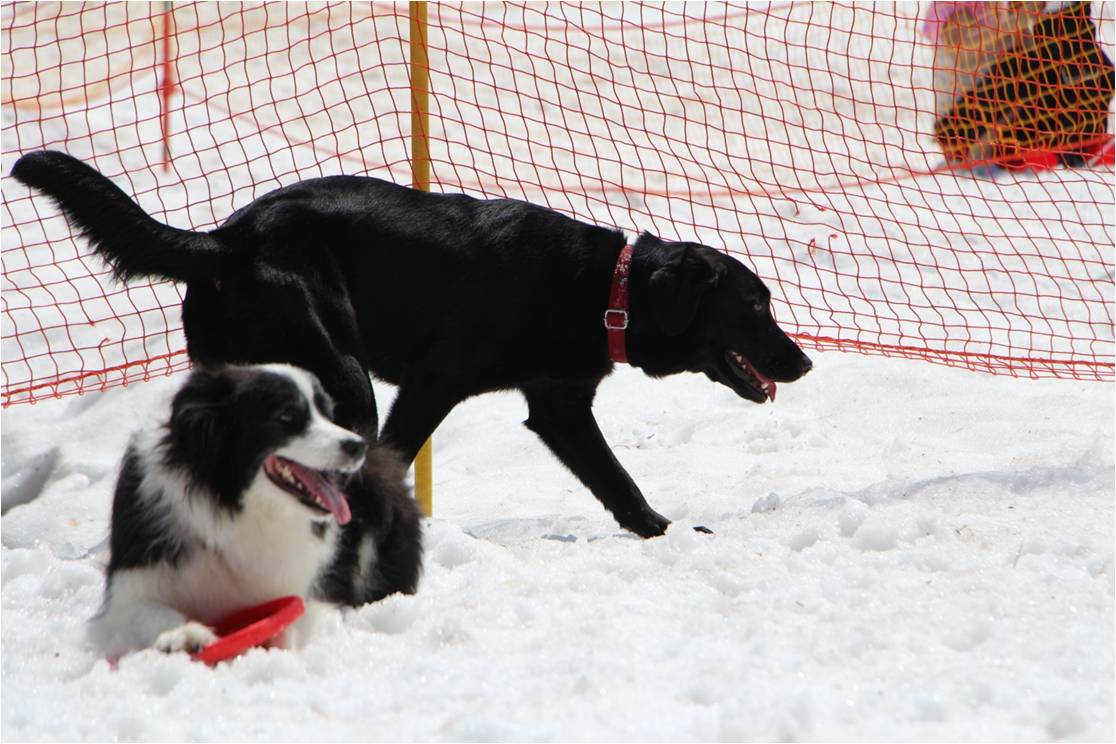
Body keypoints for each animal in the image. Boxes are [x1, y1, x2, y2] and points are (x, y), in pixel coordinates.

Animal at [8, 149, 812, 535]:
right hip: (343, 370)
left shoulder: (558, 407)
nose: (803, 361)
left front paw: (660, 532)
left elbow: (617, 481)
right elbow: (393, 456)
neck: (603, 290)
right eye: (755, 303)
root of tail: (226, 241)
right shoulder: (434, 384)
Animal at [89, 363, 421, 660]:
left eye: (327, 413)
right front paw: (183, 634)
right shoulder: (130, 585)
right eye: (286, 416)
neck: (240, 510)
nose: (357, 445)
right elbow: (144, 610)